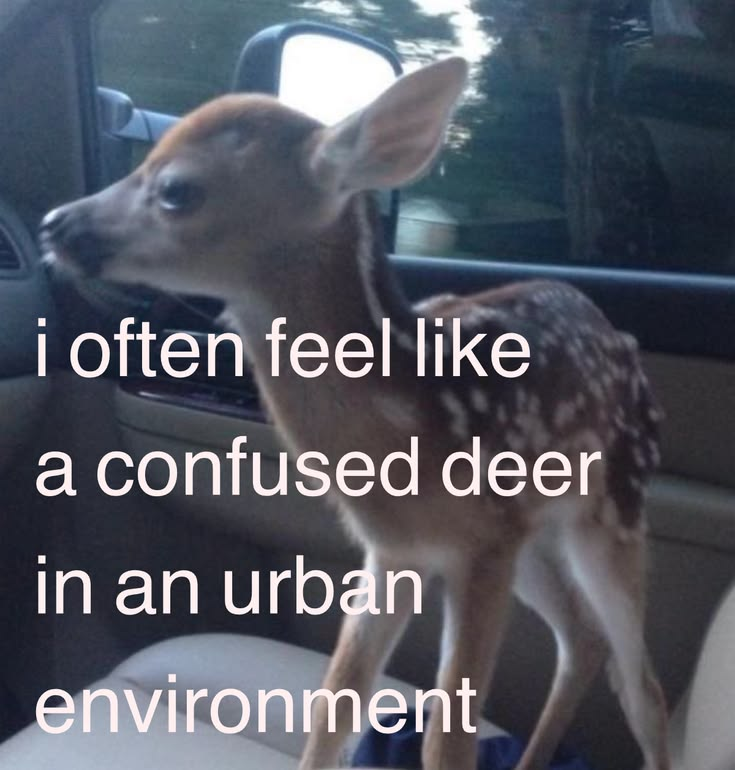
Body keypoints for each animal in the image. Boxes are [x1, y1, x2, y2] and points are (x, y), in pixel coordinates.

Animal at [39, 57, 670, 770]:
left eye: (175, 189)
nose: (54, 221)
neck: (414, 423)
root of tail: (620, 340)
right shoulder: (397, 549)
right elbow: (335, 703)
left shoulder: (481, 547)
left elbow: (447, 740)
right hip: (535, 535)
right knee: (583, 639)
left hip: (613, 510)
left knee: (641, 684)